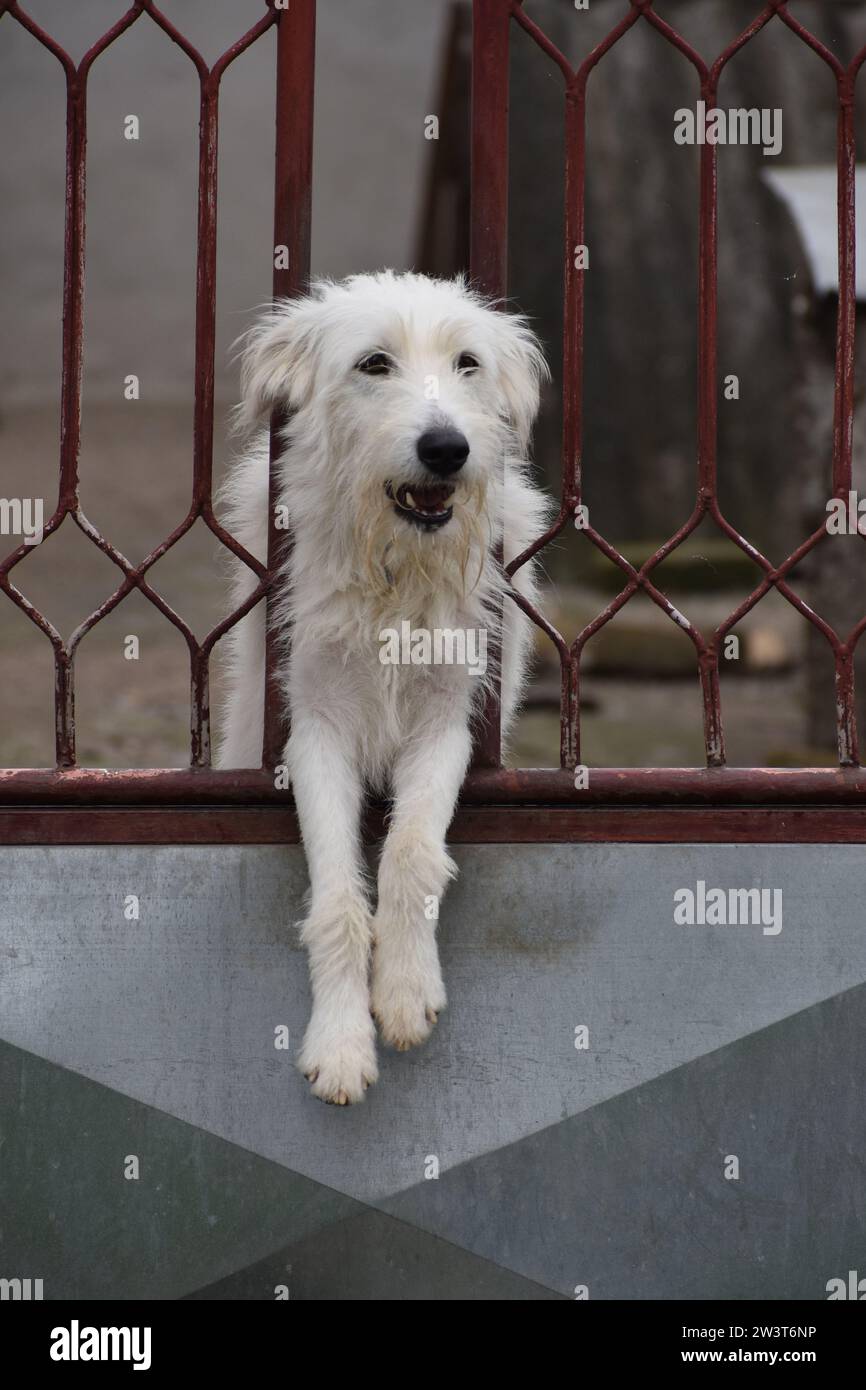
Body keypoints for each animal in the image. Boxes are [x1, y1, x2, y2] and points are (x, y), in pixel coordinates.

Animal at [219, 268, 553, 1095]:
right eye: (374, 364)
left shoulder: (448, 724)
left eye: (468, 364)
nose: (446, 448)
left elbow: (409, 855)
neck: (397, 572)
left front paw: (404, 990)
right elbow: (339, 898)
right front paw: (340, 1042)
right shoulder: (314, 734)